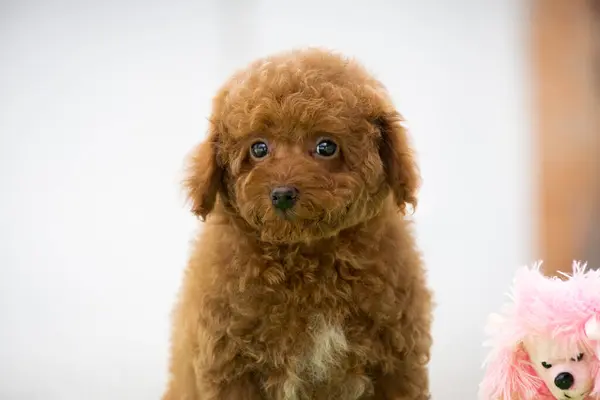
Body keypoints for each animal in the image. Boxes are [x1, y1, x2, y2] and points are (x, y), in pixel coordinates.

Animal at [162, 47, 434, 400]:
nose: (282, 194)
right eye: (259, 148)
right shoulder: (229, 364)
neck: (307, 260)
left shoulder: (397, 361)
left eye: (326, 146)